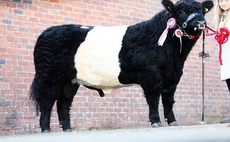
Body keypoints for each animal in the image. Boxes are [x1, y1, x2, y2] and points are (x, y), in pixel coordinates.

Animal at [30, 0, 214, 133]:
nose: (200, 21)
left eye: (201, 10)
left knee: (64, 102)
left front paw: (173, 122)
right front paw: (156, 122)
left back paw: (68, 128)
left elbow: (169, 101)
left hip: (70, 80)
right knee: (47, 101)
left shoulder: (172, 78)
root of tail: (46, 32)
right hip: (50, 77)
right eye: (181, 11)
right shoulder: (151, 77)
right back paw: (46, 129)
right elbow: (153, 100)